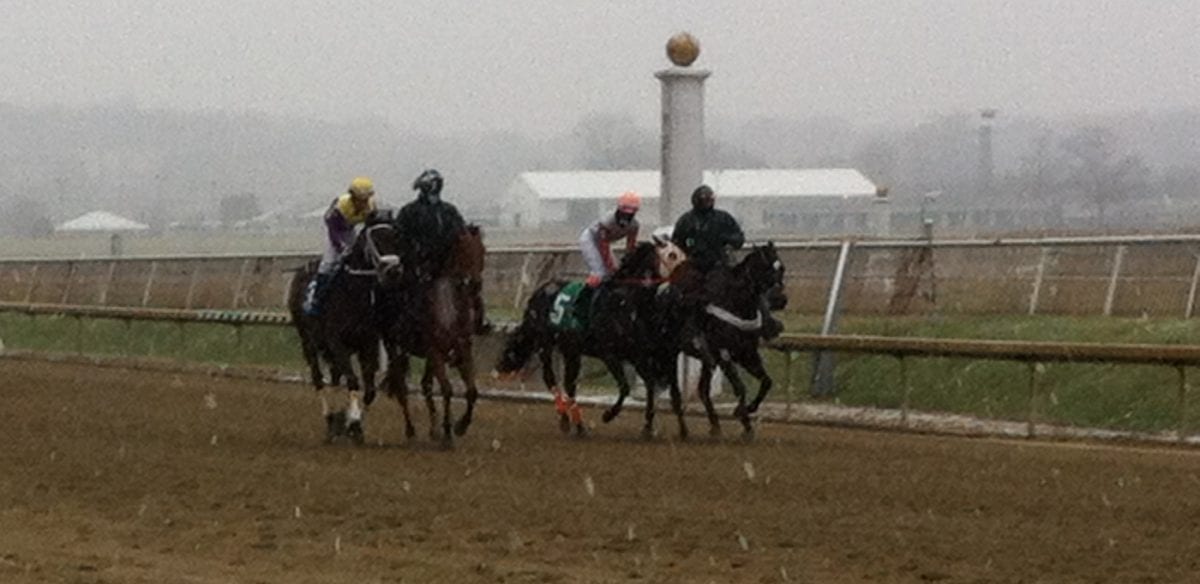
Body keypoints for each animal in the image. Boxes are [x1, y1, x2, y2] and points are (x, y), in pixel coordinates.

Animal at [288, 223, 405, 443]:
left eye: (395, 238)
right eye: (376, 240)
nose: (394, 271)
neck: (352, 294)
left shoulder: (367, 344)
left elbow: (370, 390)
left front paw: (351, 423)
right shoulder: (337, 343)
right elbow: (352, 381)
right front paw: (353, 424)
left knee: (334, 377)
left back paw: (336, 422)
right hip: (308, 342)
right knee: (318, 379)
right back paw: (329, 419)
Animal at [379, 224, 482, 448]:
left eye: (482, 252)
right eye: (464, 252)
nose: (476, 284)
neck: (447, 309)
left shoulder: (462, 349)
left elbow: (472, 391)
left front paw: (460, 426)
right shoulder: (435, 352)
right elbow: (447, 390)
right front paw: (448, 434)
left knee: (425, 385)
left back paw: (433, 429)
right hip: (395, 347)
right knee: (402, 388)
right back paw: (411, 432)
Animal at [492, 238, 691, 438]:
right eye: (672, 255)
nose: (688, 270)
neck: (624, 302)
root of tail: (538, 292)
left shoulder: (636, 355)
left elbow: (650, 384)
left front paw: (648, 427)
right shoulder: (609, 354)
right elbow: (625, 387)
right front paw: (608, 415)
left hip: (571, 349)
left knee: (570, 383)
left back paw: (579, 426)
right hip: (545, 344)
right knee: (550, 378)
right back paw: (564, 418)